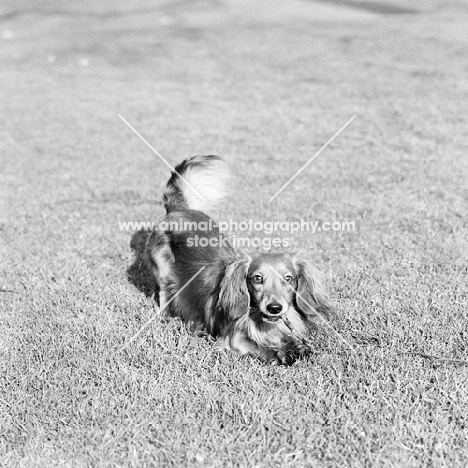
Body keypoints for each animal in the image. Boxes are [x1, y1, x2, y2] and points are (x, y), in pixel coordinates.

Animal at [144, 155, 334, 364]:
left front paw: (296, 346)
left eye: (288, 278)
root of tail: (178, 209)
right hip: (162, 270)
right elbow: (259, 347)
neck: (259, 318)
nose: (274, 308)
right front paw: (281, 353)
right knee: (163, 295)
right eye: (257, 278)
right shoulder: (233, 338)